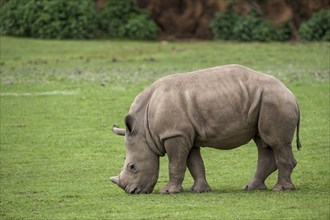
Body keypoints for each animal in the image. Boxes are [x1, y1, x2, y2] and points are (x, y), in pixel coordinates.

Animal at [111, 64, 302, 194]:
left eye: (132, 167)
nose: (132, 191)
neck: (143, 128)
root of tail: (291, 94)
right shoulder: (185, 135)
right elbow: (194, 163)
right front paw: (199, 190)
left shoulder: (174, 134)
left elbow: (175, 163)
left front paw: (168, 192)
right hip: (265, 101)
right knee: (262, 141)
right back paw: (252, 187)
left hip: (275, 100)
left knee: (277, 143)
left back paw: (281, 189)